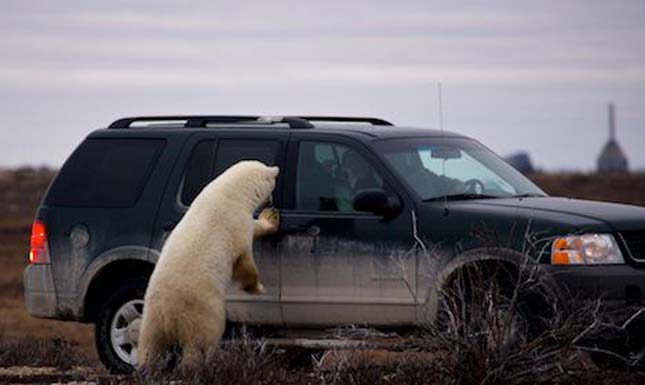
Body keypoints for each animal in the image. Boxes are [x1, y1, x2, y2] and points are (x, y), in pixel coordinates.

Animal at [138, 160, 280, 368]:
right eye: (273, 184)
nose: (270, 202)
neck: (231, 192)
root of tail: (169, 315)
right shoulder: (235, 223)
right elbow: (244, 261)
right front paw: (257, 288)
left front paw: (270, 218)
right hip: (202, 310)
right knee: (201, 341)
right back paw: (202, 364)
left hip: (151, 316)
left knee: (150, 344)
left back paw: (146, 366)